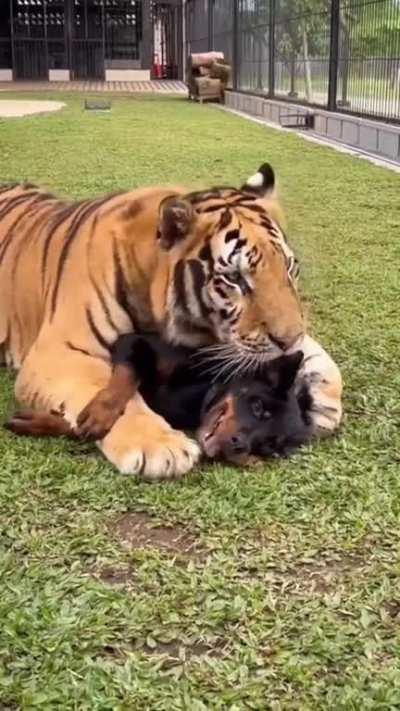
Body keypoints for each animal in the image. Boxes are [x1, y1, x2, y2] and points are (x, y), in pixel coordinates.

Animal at [0, 163, 342, 480]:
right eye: (234, 278)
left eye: (290, 268)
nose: (288, 339)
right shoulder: (60, 352)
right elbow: (109, 387)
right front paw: (160, 446)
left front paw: (324, 402)